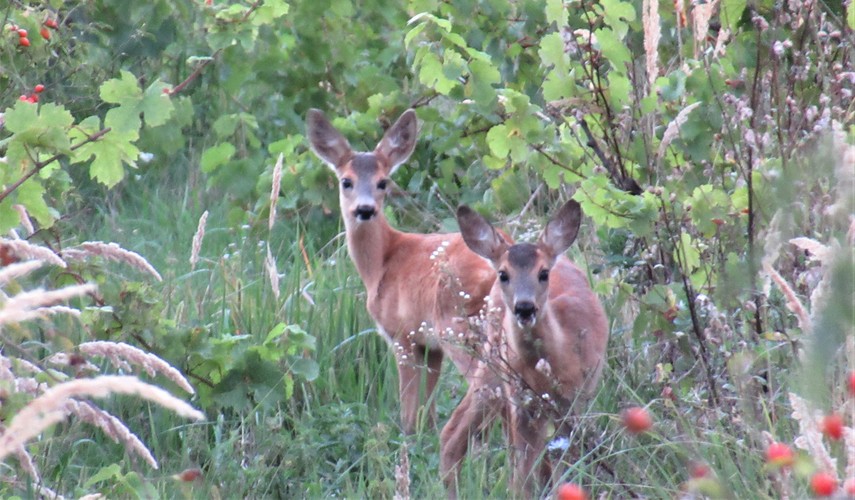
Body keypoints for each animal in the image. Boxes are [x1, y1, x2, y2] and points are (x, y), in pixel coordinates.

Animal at [306, 108, 502, 434]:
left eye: (383, 182)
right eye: (346, 181)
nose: (365, 209)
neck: (380, 265)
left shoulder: (402, 333)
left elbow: (409, 411)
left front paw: (406, 439)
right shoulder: (430, 347)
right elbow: (426, 412)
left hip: (459, 327)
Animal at [442, 199, 608, 496]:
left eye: (543, 273)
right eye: (503, 274)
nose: (525, 307)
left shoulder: (574, 399)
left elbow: (564, 461)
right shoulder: (522, 402)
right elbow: (523, 475)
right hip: (495, 367)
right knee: (453, 433)